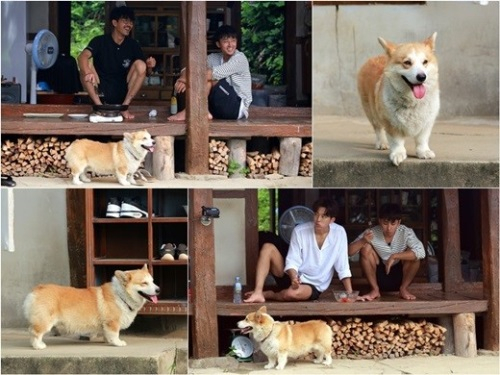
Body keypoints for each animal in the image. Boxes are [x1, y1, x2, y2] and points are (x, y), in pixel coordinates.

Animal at [358, 32, 440, 166]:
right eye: (407, 62)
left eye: (425, 62)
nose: (422, 77)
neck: (412, 101)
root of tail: (374, 57)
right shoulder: (391, 123)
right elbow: (397, 141)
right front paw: (398, 154)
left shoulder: (427, 122)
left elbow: (422, 139)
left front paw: (424, 152)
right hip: (371, 111)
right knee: (378, 128)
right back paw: (382, 143)